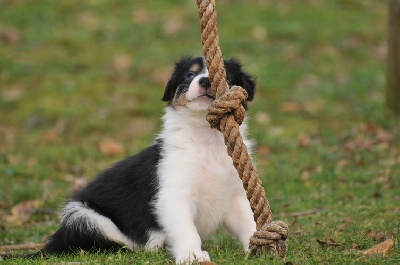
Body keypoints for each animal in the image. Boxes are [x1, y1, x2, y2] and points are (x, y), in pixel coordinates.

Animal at [5, 55, 256, 262]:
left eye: (225, 75)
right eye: (189, 75)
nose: (204, 81)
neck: (207, 138)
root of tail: (53, 243)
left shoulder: (235, 194)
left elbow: (249, 221)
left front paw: (259, 246)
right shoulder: (174, 196)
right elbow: (186, 229)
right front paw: (192, 255)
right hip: (83, 215)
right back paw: (157, 244)